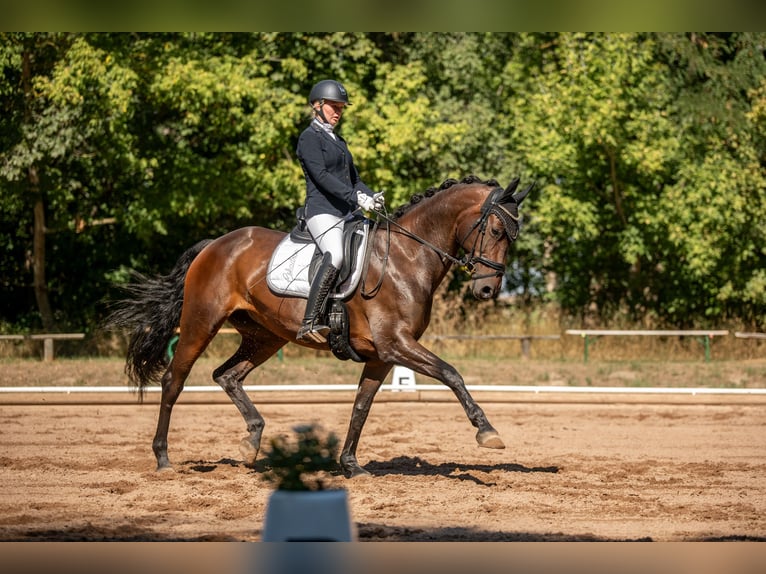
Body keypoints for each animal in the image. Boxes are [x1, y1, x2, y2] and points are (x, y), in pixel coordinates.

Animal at [105, 174, 532, 478]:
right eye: (496, 231)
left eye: (512, 237)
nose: (487, 289)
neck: (407, 257)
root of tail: (214, 245)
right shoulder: (396, 344)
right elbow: (451, 373)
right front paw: (487, 432)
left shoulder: (382, 356)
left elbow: (361, 406)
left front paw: (351, 465)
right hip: (201, 323)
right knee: (173, 381)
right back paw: (163, 458)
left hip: (264, 336)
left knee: (227, 375)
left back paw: (252, 441)